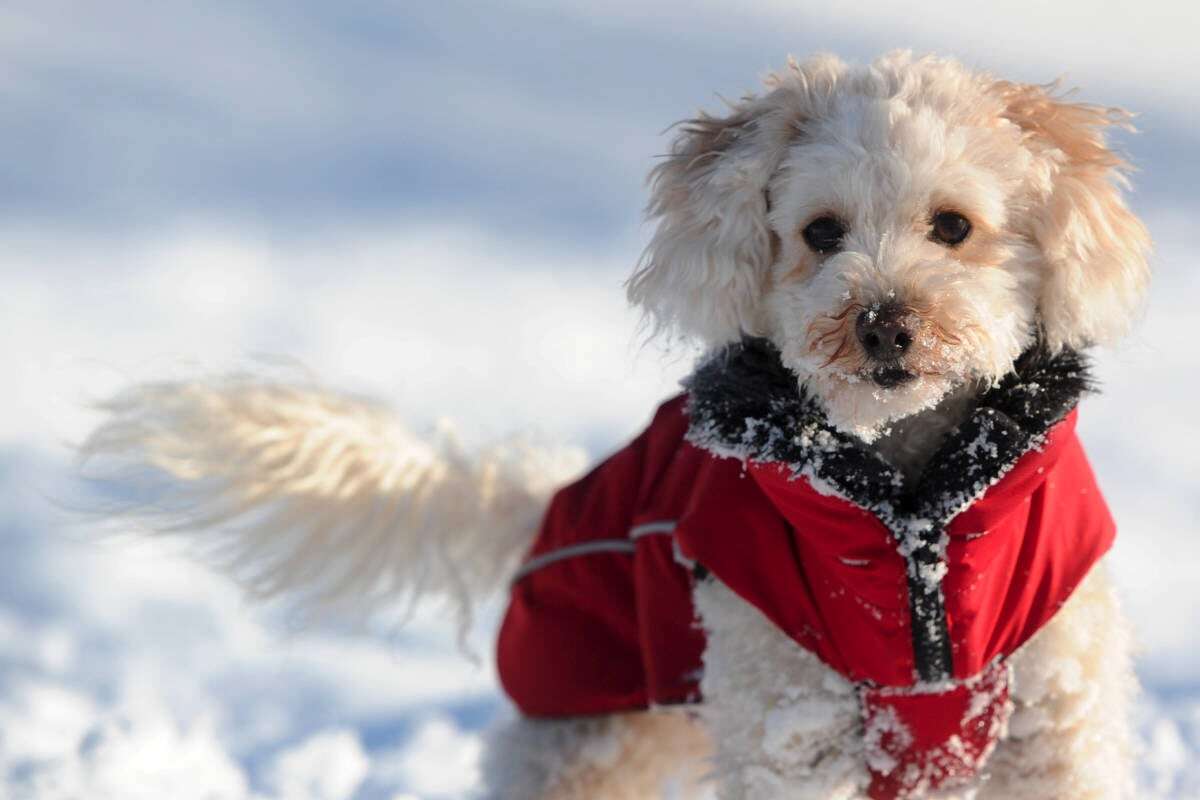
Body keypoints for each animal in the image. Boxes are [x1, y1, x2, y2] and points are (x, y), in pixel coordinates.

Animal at [84, 53, 1152, 796]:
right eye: (820, 233)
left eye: (954, 226)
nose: (884, 322)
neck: (909, 517)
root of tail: (553, 500)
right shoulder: (791, 717)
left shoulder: (1052, 715)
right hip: (583, 727)